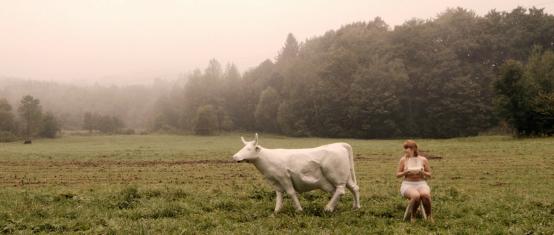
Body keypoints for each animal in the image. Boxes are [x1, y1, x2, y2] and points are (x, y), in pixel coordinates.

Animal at [231, 133, 360, 212]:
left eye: (248, 149)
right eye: (243, 148)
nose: (234, 156)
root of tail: (340, 144)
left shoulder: (284, 176)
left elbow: (291, 192)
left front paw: (299, 209)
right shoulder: (275, 181)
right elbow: (279, 194)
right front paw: (276, 210)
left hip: (337, 176)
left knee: (340, 190)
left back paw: (328, 208)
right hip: (346, 176)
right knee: (354, 188)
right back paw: (356, 207)